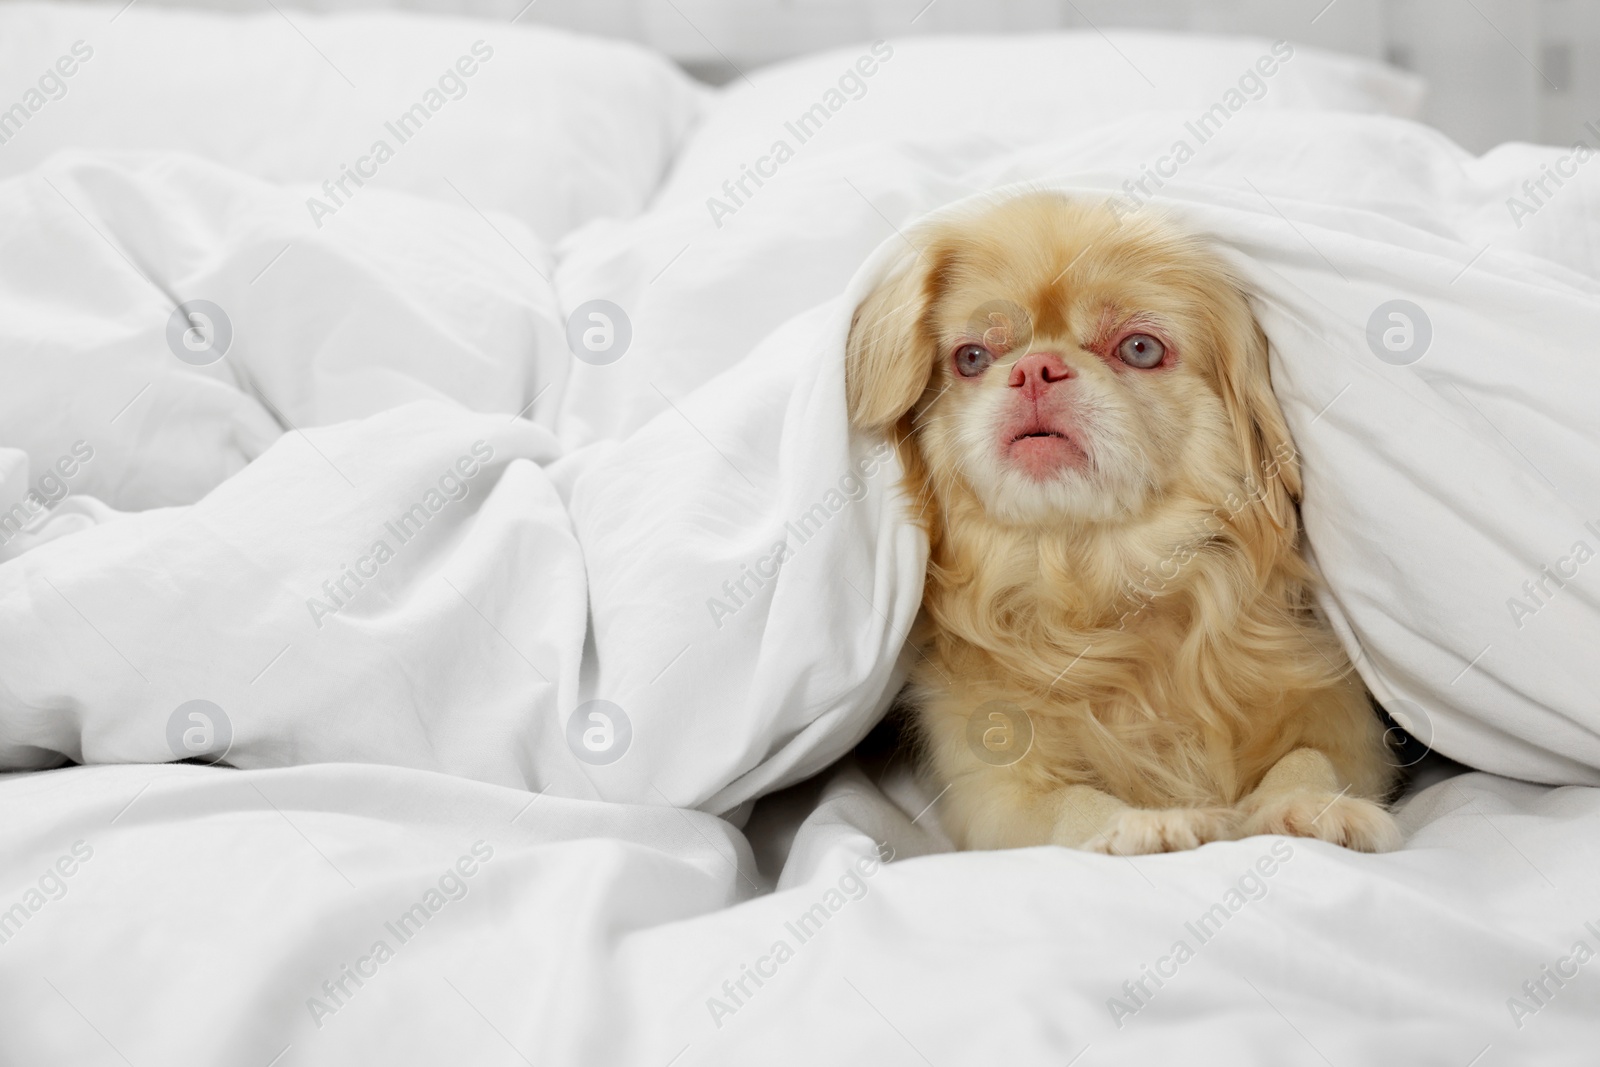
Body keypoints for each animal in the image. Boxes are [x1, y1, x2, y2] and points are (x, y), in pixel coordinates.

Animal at [851, 194, 1401, 857]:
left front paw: (1312, 807)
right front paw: (1140, 826)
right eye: (972, 358)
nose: (1034, 368)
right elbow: (1068, 804)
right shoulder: (993, 790)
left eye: (1140, 349)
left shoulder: (1349, 724)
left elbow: (1310, 758)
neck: (1102, 580)